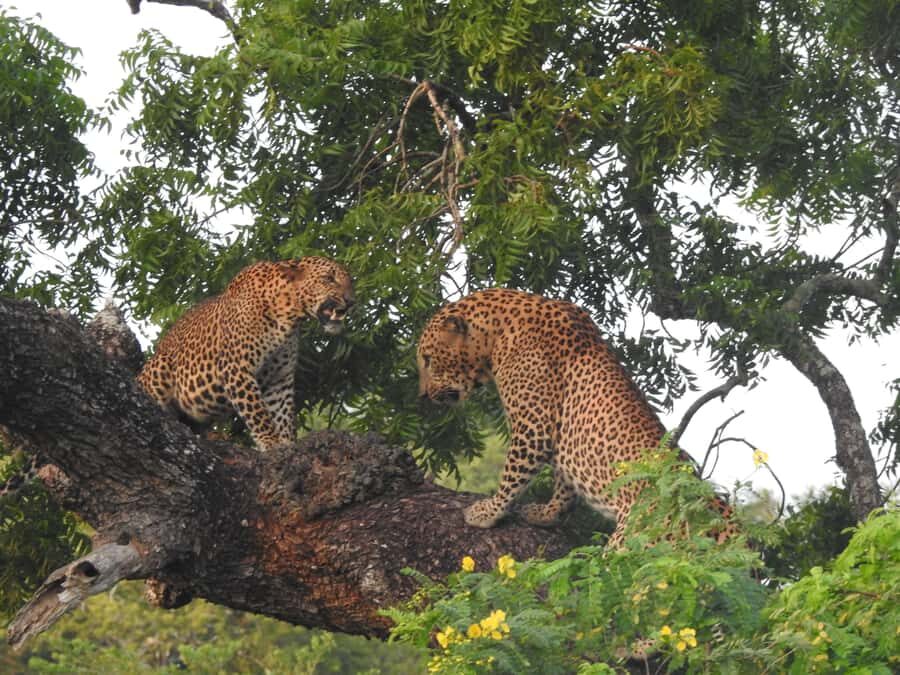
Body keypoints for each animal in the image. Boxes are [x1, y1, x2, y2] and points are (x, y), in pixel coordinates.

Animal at [137, 257, 354, 451]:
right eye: (328, 278)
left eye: (350, 281)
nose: (351, 301)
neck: (289, 316)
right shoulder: (237, 367)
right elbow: (257, 411)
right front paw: (270, 442)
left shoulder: (280, 378)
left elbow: (282, 414)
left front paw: (287, 444)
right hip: (160, 366)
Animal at [417, 288, 733, 546]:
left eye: (428, 360)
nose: (422, 396)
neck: (496, 331)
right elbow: (564, 483)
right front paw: (547, 513)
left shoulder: (534, 426)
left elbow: (512, 475)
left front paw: (489, 511)